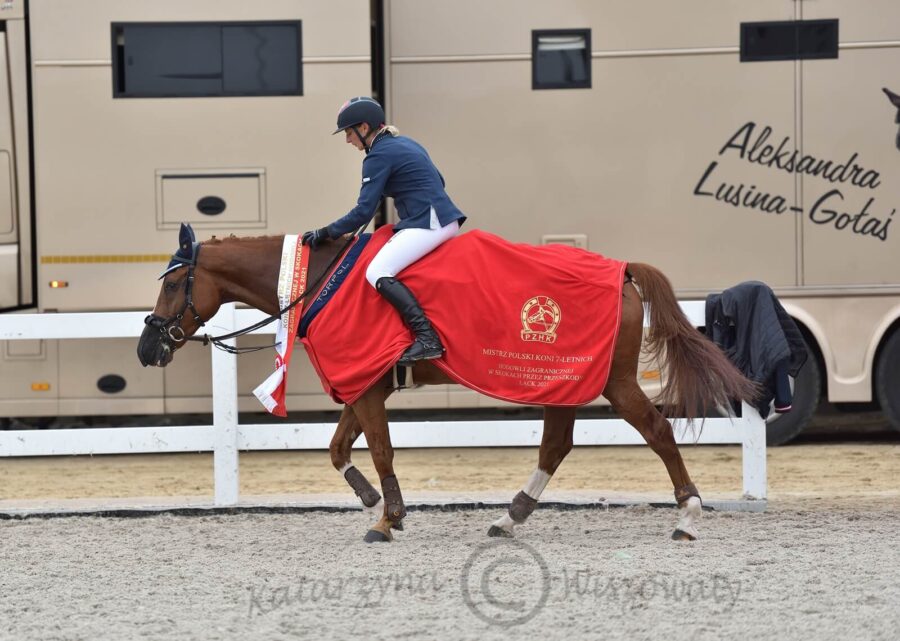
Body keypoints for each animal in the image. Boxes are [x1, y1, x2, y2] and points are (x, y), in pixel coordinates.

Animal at [139, 228, 760, 544]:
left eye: (171, 284)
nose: (148, 348)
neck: (320, 281)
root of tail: (620, 270)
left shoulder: (367, 389)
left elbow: (381, 450)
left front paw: (386, 518)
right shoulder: (365, 385)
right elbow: (338, 449)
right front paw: (375, 504)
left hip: (613, 380)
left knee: (657, 431)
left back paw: (687, 517)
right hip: (563, 383)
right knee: (555, 446)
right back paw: (509, 518)